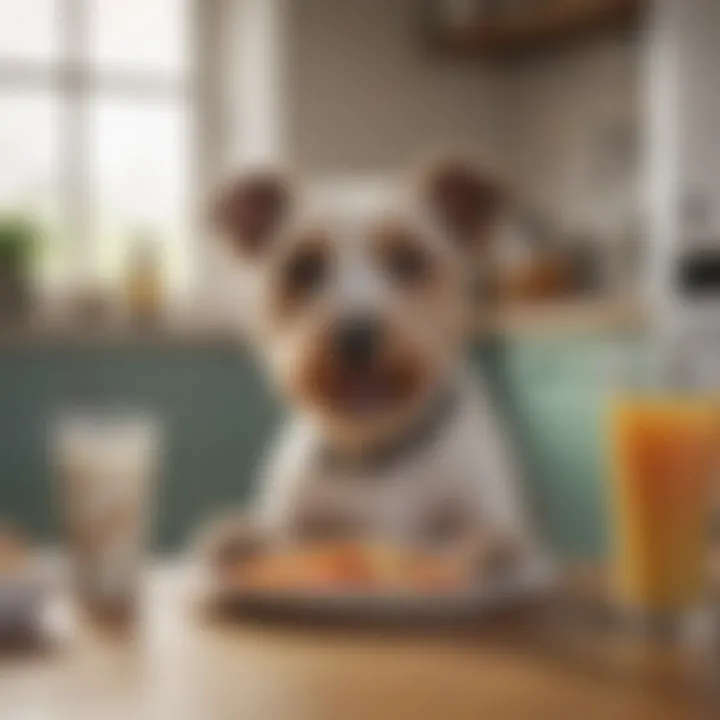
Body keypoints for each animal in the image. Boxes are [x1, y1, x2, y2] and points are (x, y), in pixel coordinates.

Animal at [200, 159, 536, 572]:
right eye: (303, 267)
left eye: (408, 259)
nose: (355, 334)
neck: (375, 443)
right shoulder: (293, 522)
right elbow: (278, 538)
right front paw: (239, 541)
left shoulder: (484, 512)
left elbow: (483, 538)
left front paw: (481, 553)